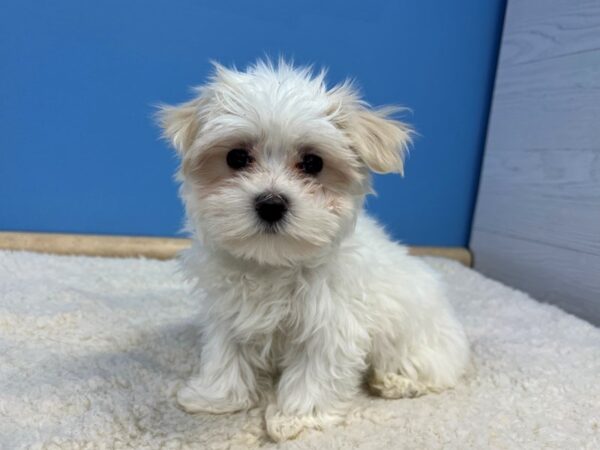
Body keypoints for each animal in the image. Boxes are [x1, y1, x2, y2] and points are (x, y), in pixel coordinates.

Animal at [158, 58, 468, 442]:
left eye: (312, 163)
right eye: (236, 157)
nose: (271, 203)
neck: (274, 262)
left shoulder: (332, 323)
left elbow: (315, 372)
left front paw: (297, 418)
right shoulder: (228, 310)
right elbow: (224, 353)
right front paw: (215, 397)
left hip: (418, 342)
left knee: (434, 370)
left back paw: (394, 382)